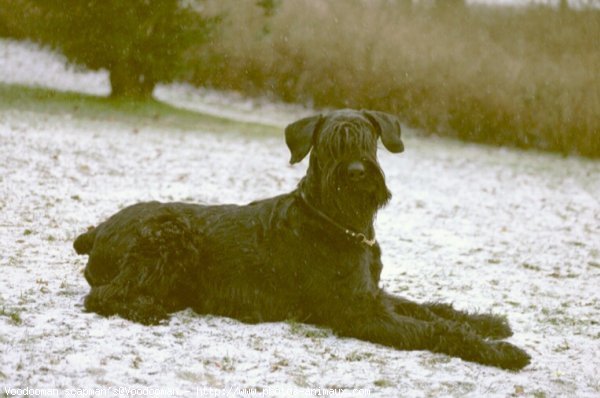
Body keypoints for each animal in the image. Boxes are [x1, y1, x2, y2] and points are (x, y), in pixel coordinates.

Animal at [74, 108, 528, 370]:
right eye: (328, 145)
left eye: (369, 140)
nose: (357, 174)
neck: (341, 224)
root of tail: (97, 231)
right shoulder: (358, 311)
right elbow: (433, 330)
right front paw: (502, 352)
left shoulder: (374, 294)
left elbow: (431, 309)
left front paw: (489, 323)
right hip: (166, 237)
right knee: (102, 296)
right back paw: (147, 309)